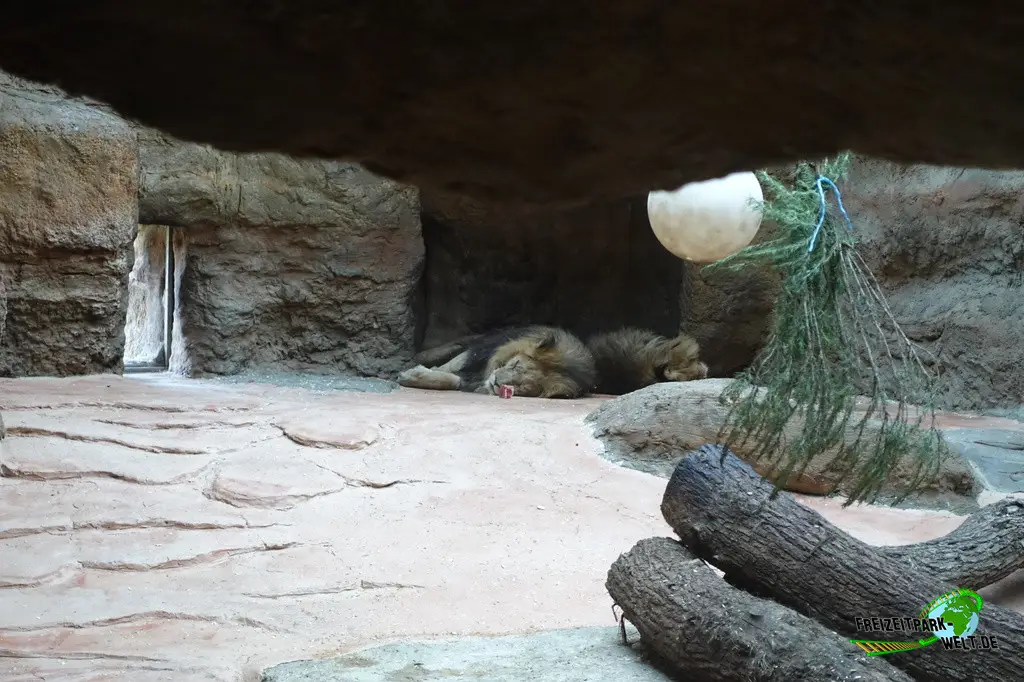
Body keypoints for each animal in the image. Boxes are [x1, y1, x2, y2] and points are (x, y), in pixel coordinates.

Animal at [398, 325, 597, 399]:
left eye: (522, 387)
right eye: (516, 364)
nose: (496, 383)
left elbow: (454, 380)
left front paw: (415, 375)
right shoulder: (481, 350)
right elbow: (451, 366)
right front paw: (412, 372)